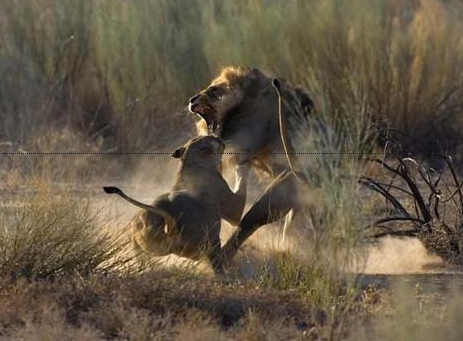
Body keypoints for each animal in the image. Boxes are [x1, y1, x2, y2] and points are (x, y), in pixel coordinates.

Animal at [104, 134, 250, 272]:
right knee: (214, 261)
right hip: (209, 242)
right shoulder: (234, 211)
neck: (192, 164)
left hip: (143, 238)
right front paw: (243, 166)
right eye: (212, 138)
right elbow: (241, 181)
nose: (217, 135)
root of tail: (168, 213)